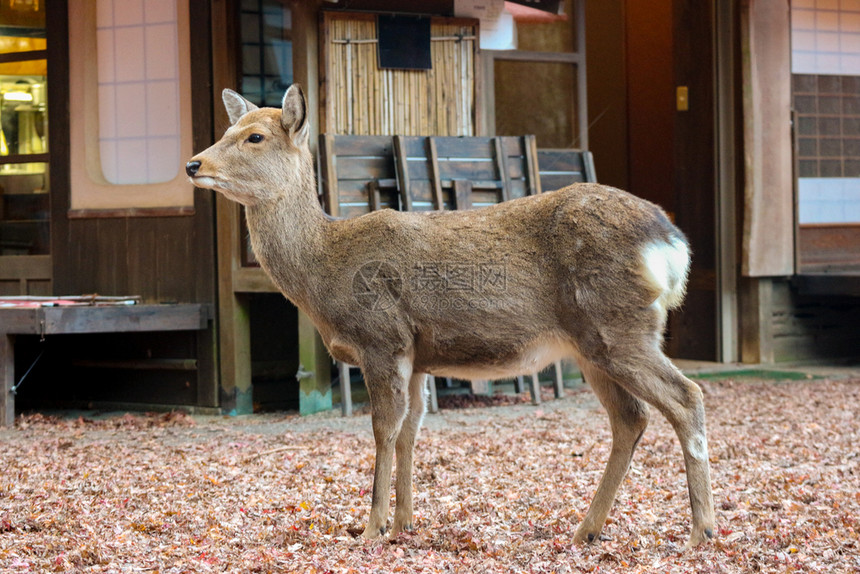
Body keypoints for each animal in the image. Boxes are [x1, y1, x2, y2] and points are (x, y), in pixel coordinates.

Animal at [188, 84, 720, 548]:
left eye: (255, 136)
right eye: (230, 127)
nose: (194, 163)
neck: (325, 267)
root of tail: (672, 244)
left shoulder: (382, 337)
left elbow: (384, 430)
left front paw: (371, 528)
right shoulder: (418, 356)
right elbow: (410, 431)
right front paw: (403, 523)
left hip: (619, 325)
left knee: (687, 396)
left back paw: (701, 532)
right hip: (593, 344)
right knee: (631, 418)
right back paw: (586, 531)